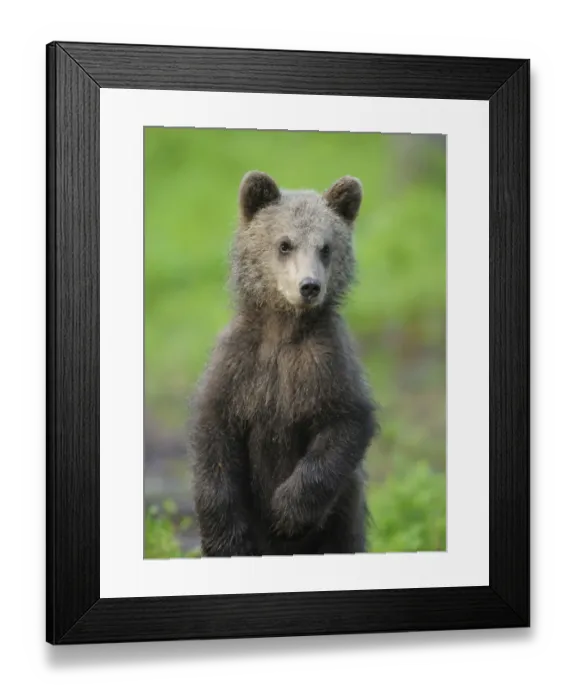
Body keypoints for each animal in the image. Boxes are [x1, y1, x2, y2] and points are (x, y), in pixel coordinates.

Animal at [189, 171, 378, 557]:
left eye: (325, 247)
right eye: (285, 244)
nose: (309, 286)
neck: (284, 328)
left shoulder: (326, 363)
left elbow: (345, 424)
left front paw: (287, 513)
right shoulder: (239, 365)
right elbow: (214, 434)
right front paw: (225, 538)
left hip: (344, 514)